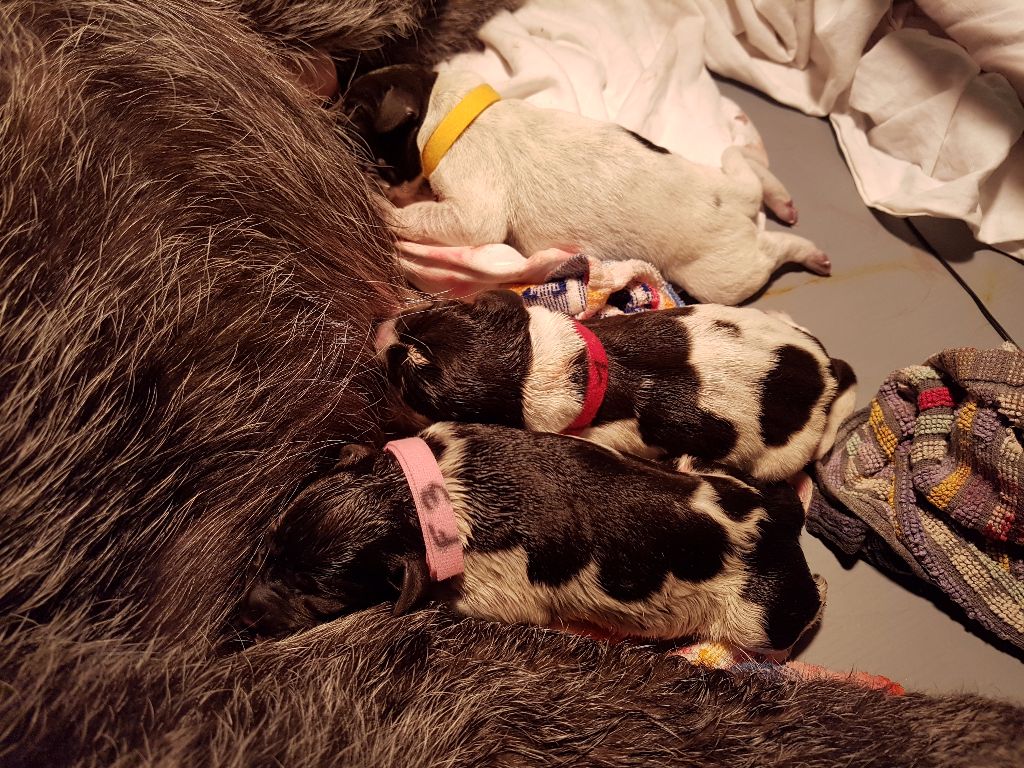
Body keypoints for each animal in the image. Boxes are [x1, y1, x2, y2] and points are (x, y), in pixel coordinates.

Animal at [240, 422, 826, 653]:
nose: (244, 615)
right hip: (705, 468)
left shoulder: (495, 594)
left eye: (318, 597)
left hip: (758, 619)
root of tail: (778, 523)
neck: (418, 499)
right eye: (268, 547)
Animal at [343, 65, 832, 305]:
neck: (443, 108)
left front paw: (378, 202)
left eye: (381, 163)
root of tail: (733, 206)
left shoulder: (473, 203)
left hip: (724, 278)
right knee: (739, 160)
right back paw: (775, 191)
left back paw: (811, 251)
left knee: (774, 252)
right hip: (723, 177)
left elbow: (435, 215)